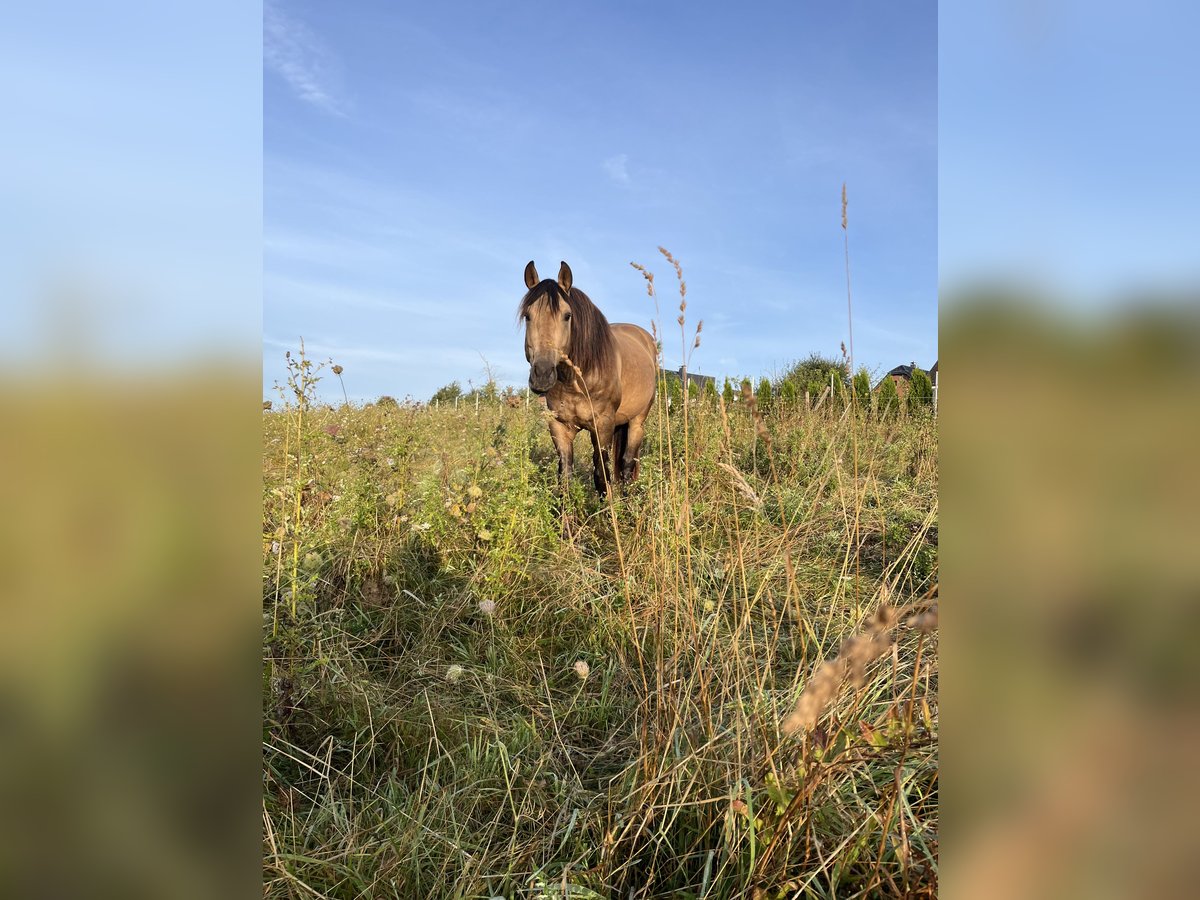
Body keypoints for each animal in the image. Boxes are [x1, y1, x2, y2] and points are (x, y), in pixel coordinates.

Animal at [520, 260, 662, 501]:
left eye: (567, 315)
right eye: (528, 315)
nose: (543, 374)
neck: (577, 379)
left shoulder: (602, 425)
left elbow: (602, 476)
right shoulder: (559, 427)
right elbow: (565, 477)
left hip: (637, 421)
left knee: (626, 465)